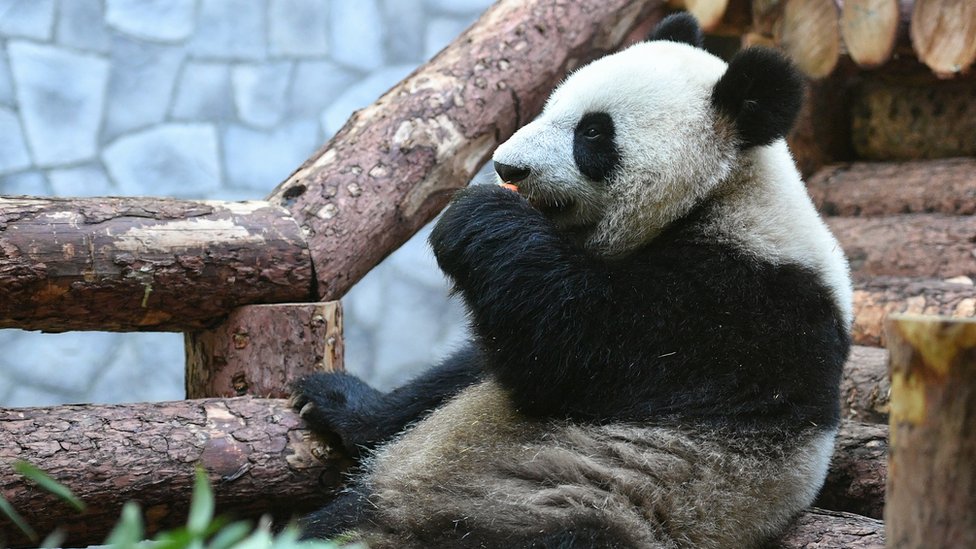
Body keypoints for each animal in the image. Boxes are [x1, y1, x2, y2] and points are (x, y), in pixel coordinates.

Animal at [290, 12, 852, 548]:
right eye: (549, 105)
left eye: (593, 132)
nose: (506, 166)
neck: (722, 193)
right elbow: (464, 372)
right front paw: (341, 402)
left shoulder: (743, 308)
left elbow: (574, 351)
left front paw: (475, 216)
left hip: (570, 509)